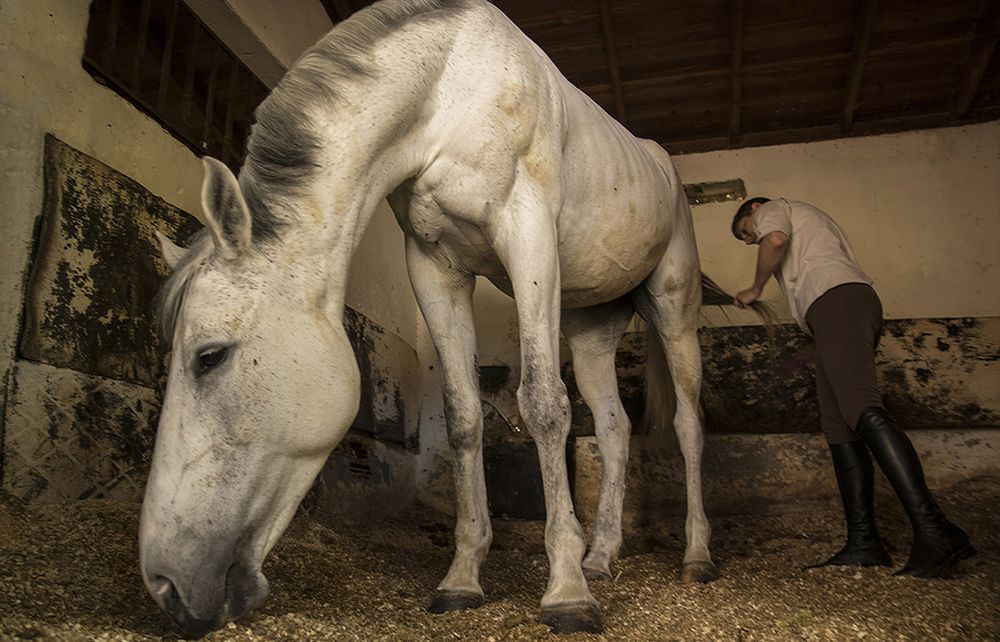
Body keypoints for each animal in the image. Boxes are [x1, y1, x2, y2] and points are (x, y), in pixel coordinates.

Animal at [139, 0, 750, 635]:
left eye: (209, 357)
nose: (165, 586)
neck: (446, 95)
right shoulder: (435, 267)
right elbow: (462, 417)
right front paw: (463, 578)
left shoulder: (528, 237)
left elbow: (543, 405)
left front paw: (566, 592)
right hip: (589, 332)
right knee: (614, 430)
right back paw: (601, 556)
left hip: (673, 312)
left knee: (687, 425)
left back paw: (695, 556)